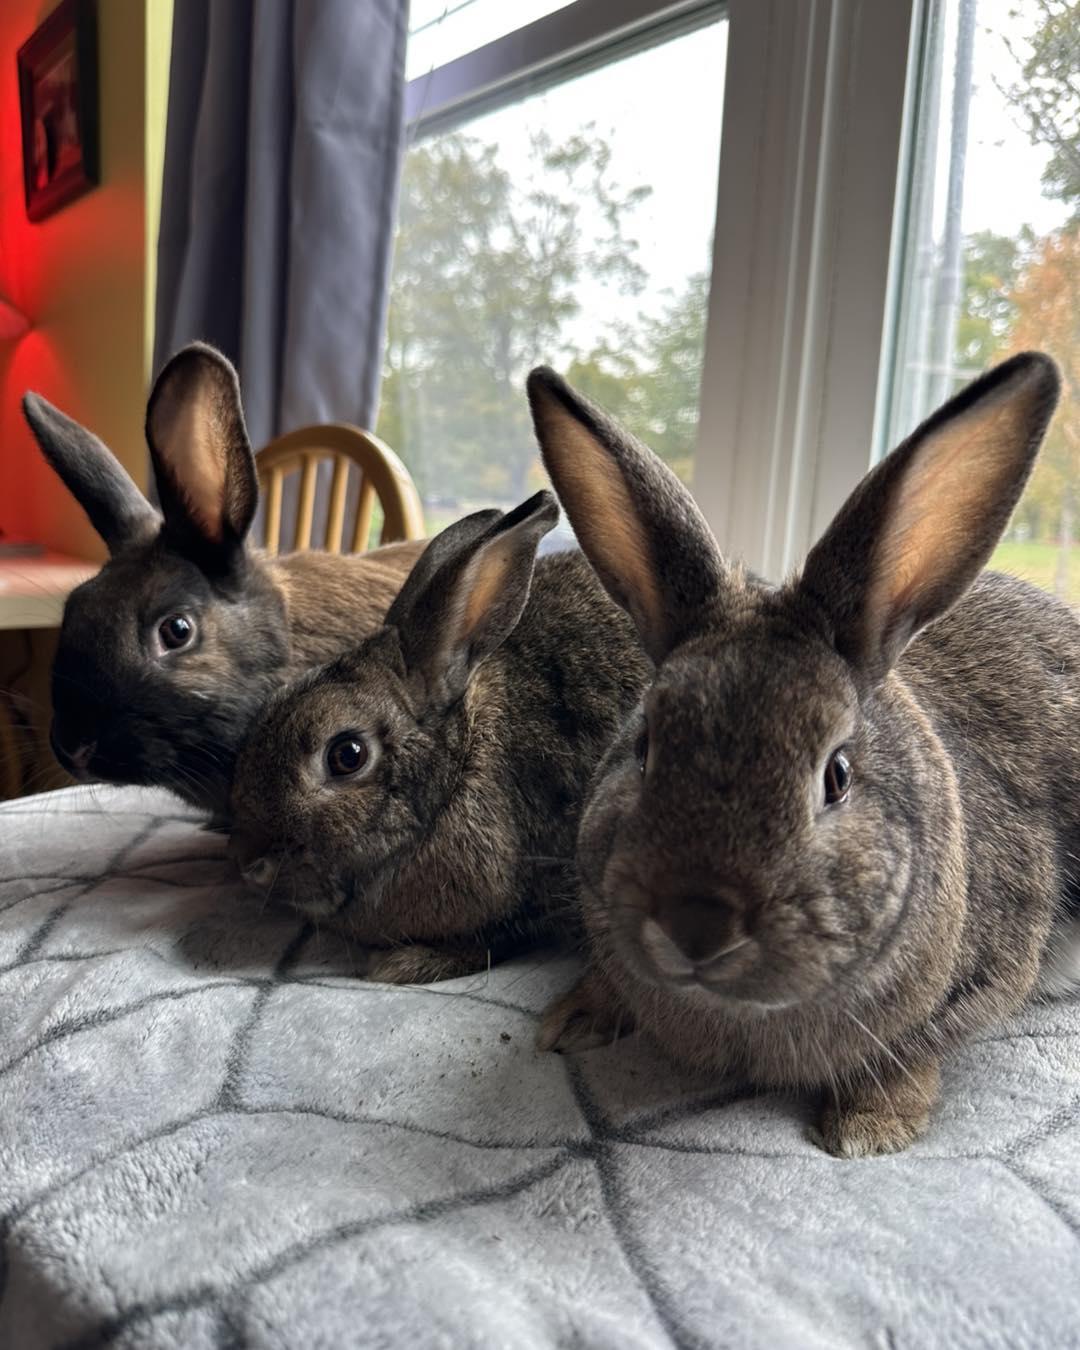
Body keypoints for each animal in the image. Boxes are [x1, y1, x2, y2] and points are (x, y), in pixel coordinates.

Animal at [525, 350, 1080, 1157]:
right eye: (647, 746)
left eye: (837, 776)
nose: (697, 925)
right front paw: (572, 1020)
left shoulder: (989, 970)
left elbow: (917, 1050)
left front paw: (870, 1127)